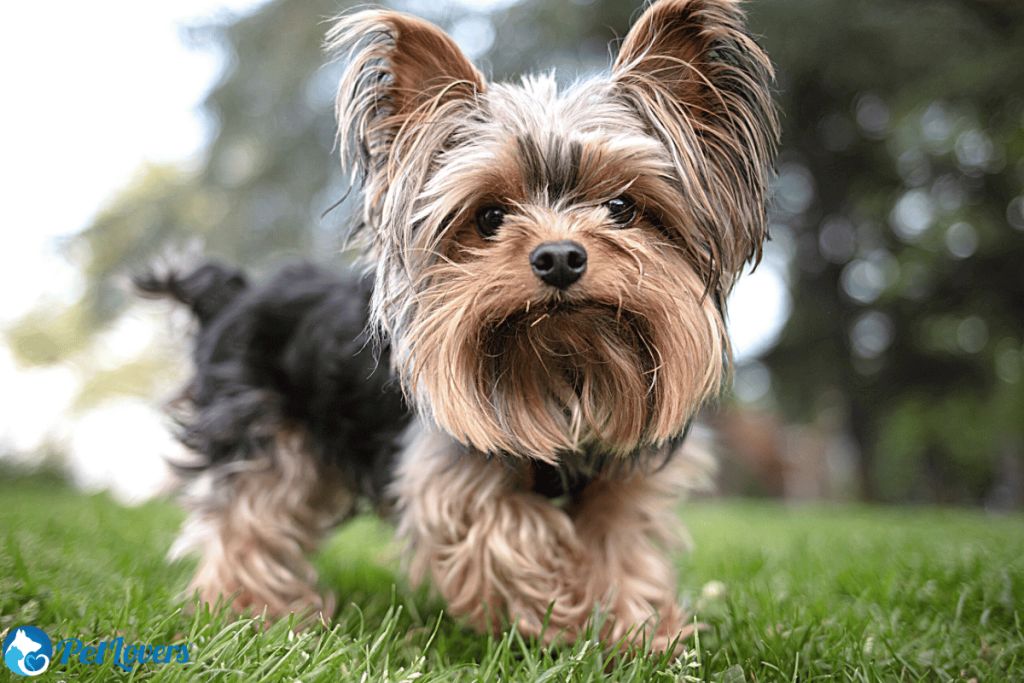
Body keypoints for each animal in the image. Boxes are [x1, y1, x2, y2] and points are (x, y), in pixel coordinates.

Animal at [144, 0, 774, 655]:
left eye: (622, 208)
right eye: (490, 217)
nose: (558, 257)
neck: (562, 368)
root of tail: (231, 295)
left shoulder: (619, 480)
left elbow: (619, 550)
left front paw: (639, 632)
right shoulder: (449, 476)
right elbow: (511, 534)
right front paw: (565, 616)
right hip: (259, 431)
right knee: (248, 517)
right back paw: (254, 615)